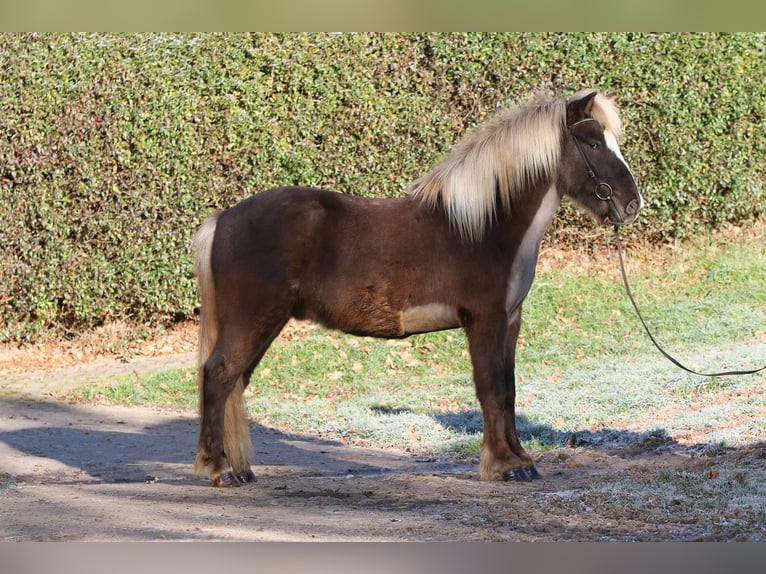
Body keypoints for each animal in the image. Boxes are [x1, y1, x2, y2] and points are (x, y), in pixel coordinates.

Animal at [193, 89, 643, 487]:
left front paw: (521, 460)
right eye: (592, 143)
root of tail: (223, 218)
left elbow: (509, 391)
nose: (632, 204)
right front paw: (503, 466)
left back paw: (241, 469)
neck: (484, 227)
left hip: (266, 324)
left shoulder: (510, 321)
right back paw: (219, 470)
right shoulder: (485, 321)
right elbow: (492, 389)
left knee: (233, 383)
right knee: (218, 375)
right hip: (254, 320)